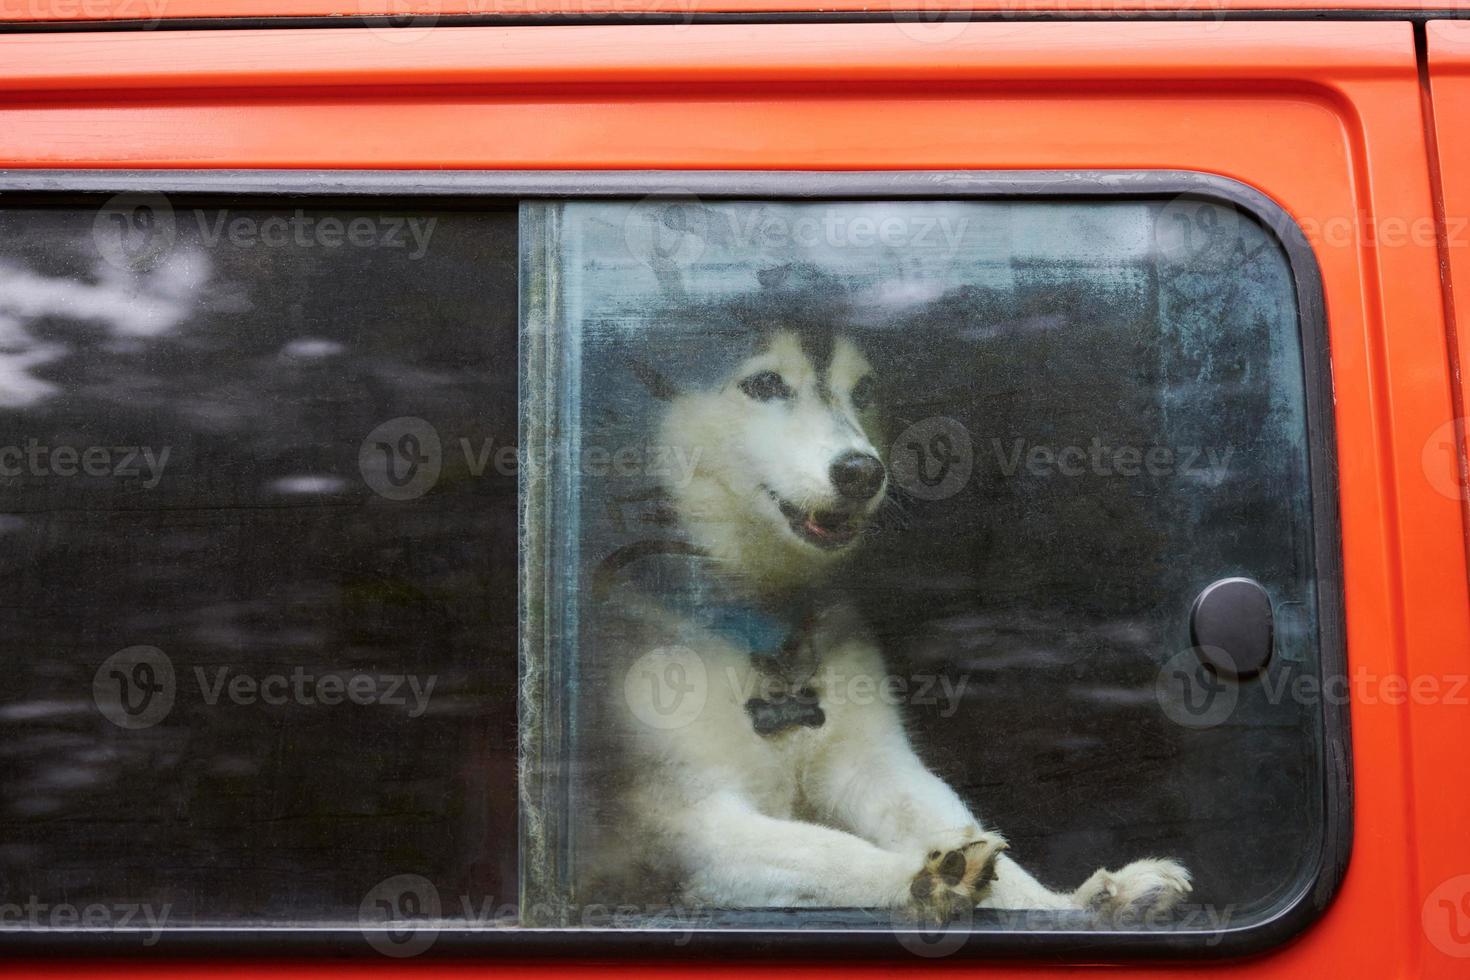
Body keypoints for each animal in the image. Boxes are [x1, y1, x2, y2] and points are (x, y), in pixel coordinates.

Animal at [588, 323, 1193, 928]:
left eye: (862, 389)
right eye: (763, 383)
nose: (862, 471)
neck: (765, 618)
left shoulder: (873, 761)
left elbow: (942, 817)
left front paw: (1075, 905)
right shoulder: (685, 820)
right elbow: (828, 850)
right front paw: (926, 880)